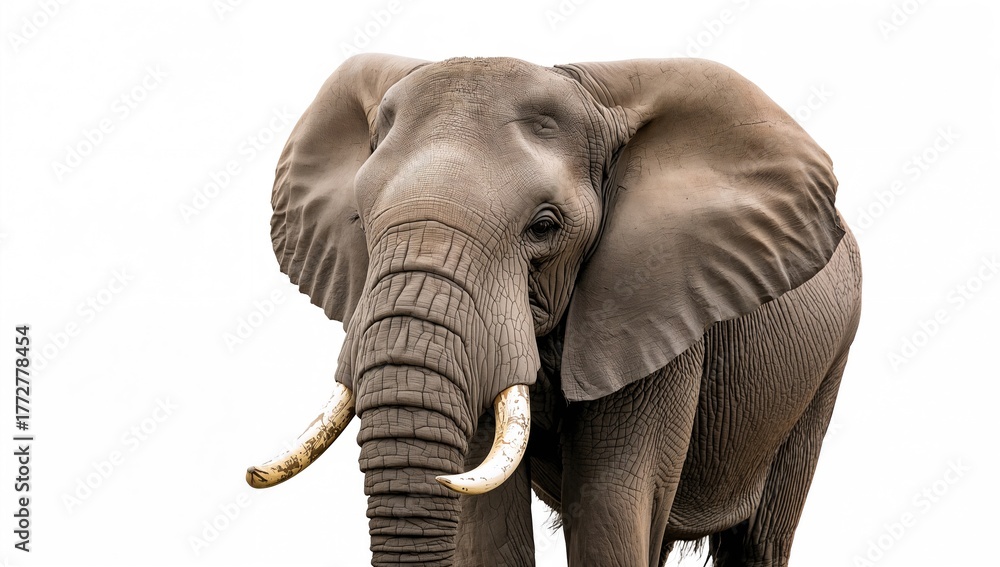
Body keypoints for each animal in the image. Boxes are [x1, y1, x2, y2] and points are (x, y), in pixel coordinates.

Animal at [246, 54, 862, 567]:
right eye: (362, 219)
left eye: (544, 226)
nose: (249, 470)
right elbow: (487, 526)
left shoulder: (651, 304)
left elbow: (610, 506)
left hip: (827, 367)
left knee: (758, 540)